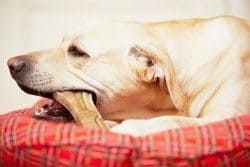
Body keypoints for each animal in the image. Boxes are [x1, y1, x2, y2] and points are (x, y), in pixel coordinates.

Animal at [6, 15, 249, 136]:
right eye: (62, 42)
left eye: (77, 52)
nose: (11, 64)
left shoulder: (225, 116)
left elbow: (177, 120)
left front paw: (128, 128)